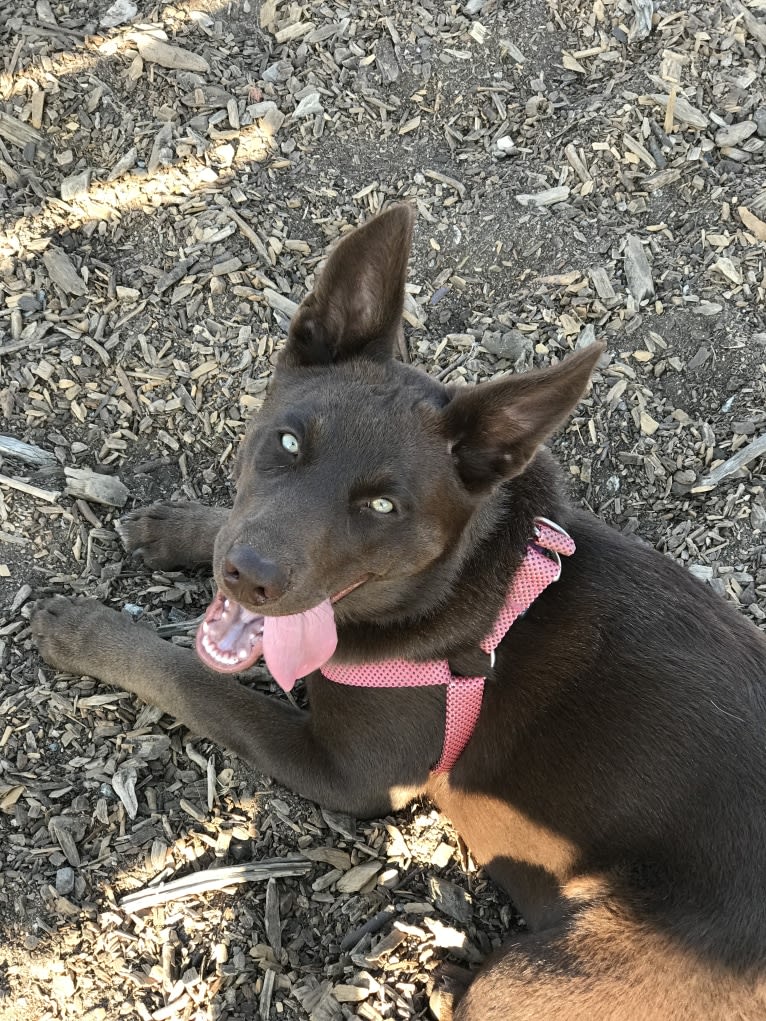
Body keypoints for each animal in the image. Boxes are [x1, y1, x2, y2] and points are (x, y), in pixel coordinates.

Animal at [32, 203, 766, 1016]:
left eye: (383, 506)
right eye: (288, 441)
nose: (249, 577)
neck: (464, 581)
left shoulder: (346, 773)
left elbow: (194, 681)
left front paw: (82, 630)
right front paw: (174, 528)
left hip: (557, 967)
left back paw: (447, 974)